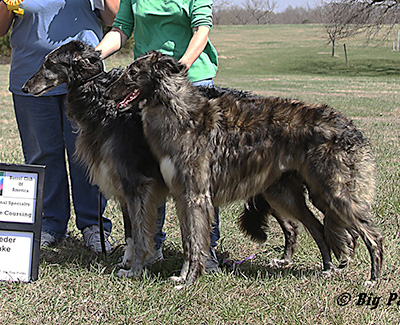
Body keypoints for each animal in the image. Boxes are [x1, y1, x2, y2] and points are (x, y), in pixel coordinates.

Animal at [105, 51, 382, 286]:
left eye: (133, 71)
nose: (107, 91)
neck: (181, 114)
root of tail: (350, 126)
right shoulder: (182, 195)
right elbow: (188, 242)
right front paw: (183, 276)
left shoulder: (196, 196)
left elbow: (196, 243)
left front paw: (189, 281)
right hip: (291, 194)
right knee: (318, 229)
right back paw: (327, 269)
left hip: (334, 194)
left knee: (372, 235)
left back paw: (373, 279)